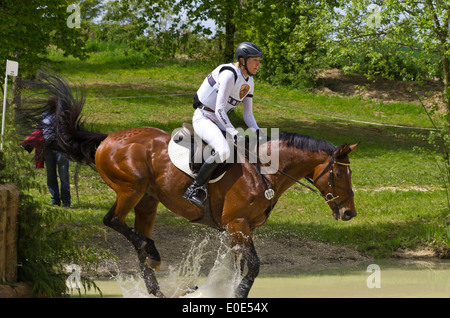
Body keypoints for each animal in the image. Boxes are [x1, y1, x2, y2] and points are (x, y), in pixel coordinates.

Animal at [20, 71, 358, 298]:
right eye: (342, 175)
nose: (350, 214)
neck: (264, 171)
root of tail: (107, 139)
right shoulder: (237, 224)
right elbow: (253, 266)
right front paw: (236, 294)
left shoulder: (242, 228)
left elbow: (243, 267)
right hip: (131, 188)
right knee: (113, 220)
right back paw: (153, 250)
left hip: (148, 201)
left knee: (136, 242)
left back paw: (156, 281)